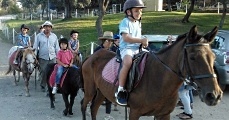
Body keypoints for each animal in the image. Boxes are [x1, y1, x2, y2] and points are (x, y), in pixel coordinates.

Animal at [81, 25, 224, 120]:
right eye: (193, 57)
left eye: (213, 57)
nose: (214, 95)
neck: (159, 80)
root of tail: (92, 56)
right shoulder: (134, 112)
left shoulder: (164, 114)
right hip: (90, 90)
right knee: (84, 105)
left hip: (101, 91)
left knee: (93, 108)